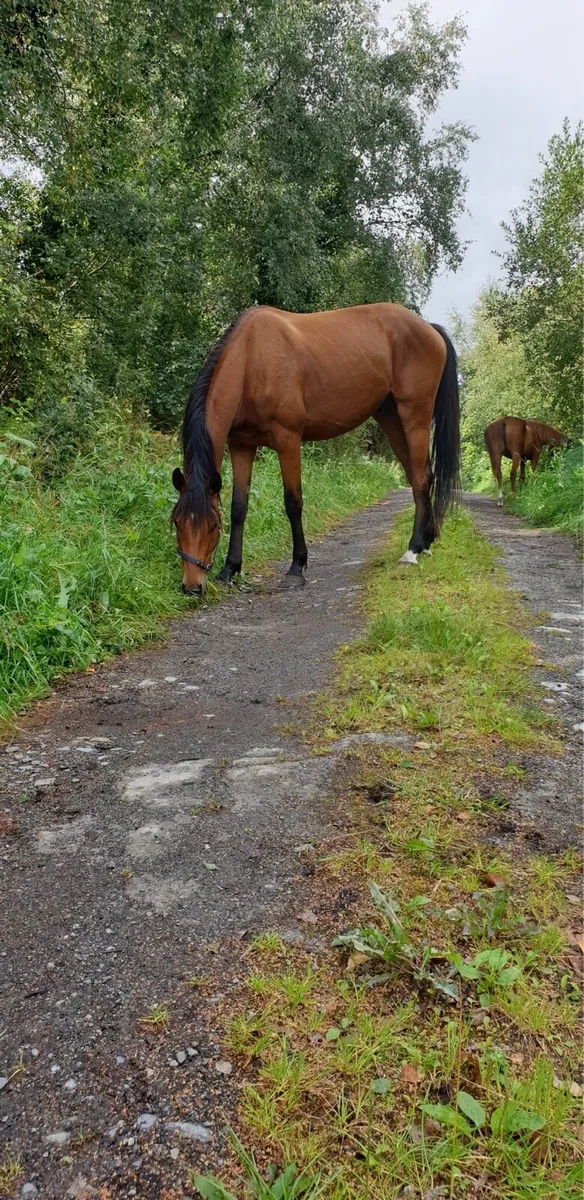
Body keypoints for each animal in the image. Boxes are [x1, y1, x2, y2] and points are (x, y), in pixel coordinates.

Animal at [172, 303, 460, 595]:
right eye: (177, 522)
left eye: (212, 525)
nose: (192, 586)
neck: (251, 358)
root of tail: (428, 328)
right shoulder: (242, 445)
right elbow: (239, 507)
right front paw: (229, 569)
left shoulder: (287, 440)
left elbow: (293, 502)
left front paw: (296, 567)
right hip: (392, 420)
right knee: (419, 477)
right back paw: (426, 542)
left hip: (415, 417)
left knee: (421, 478)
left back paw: (412, 551)